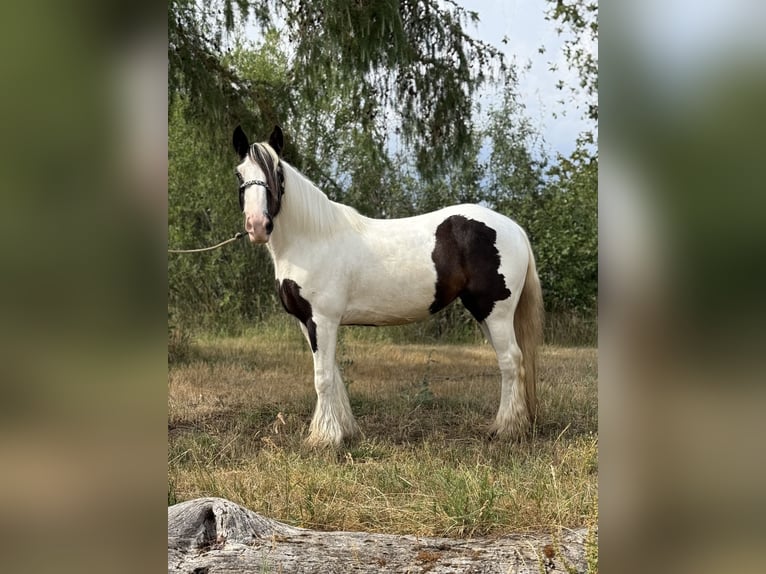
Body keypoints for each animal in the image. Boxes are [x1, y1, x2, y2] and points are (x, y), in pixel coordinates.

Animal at [232, 125, 544, 447]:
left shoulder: (323, 319)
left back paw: (507, 429)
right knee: (511, 361)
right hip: (484, 313)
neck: (313, 239)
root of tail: (514, 228)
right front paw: (343, 430)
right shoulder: (307, 322)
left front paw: (325, 438)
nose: (257, 225)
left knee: (511, 361)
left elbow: (323, 378)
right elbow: (334, 374)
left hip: (496, 311)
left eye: (277, 172)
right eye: (239, 175)